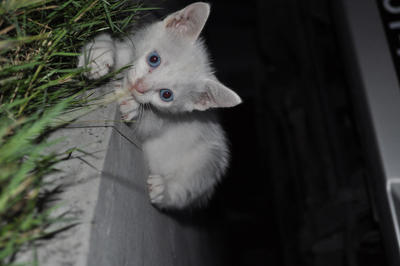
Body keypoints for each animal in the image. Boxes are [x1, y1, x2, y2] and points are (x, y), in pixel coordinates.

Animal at [77, 2, 241, 210]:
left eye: (166, 95)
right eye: (154, 59)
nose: (139, 86)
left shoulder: (167, 119)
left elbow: (149, 125)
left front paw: (133, 107)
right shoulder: (130, 49)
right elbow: (112, 45)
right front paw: (98, 54)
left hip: (209, 163)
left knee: (186, 190)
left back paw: (163, 191)